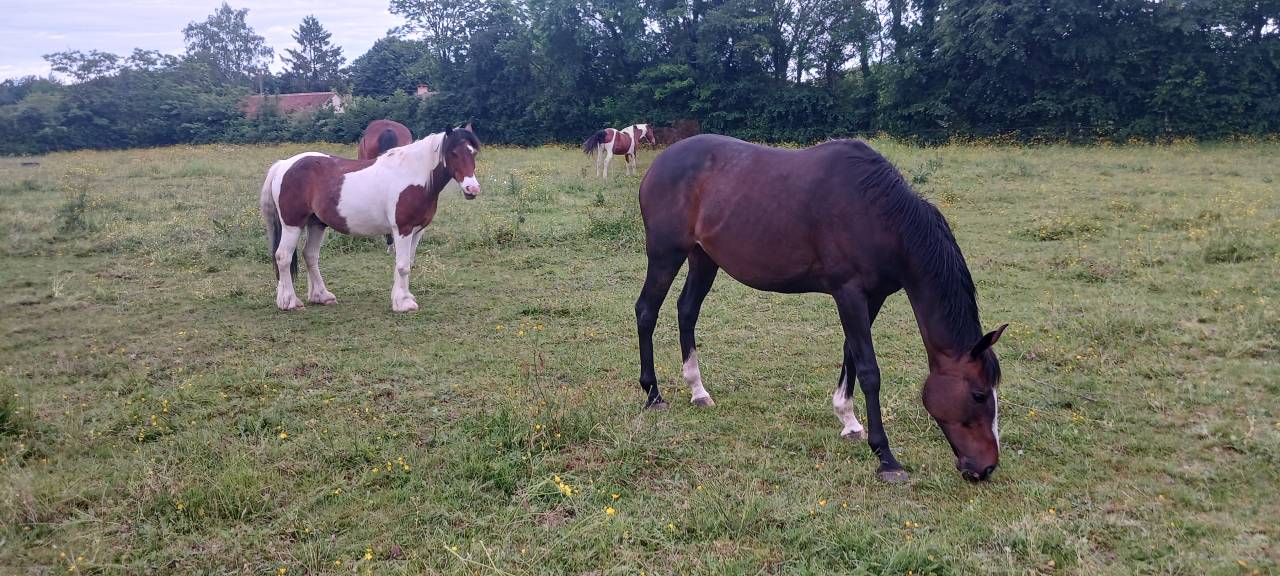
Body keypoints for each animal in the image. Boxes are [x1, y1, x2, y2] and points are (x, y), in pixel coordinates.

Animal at [633, 134, 1008, 483]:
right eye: (978, 395)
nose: (986, 467)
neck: (879, 215)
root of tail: (660, 162)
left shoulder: (873, 296)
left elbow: (851, 353)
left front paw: (848, 420)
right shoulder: (849, 293)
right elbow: (870, 370)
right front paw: (886, 457)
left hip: (703, 258)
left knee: (686, 311)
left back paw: (698, 391)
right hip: (666, 254)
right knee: (646, 311)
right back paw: (653, 394)